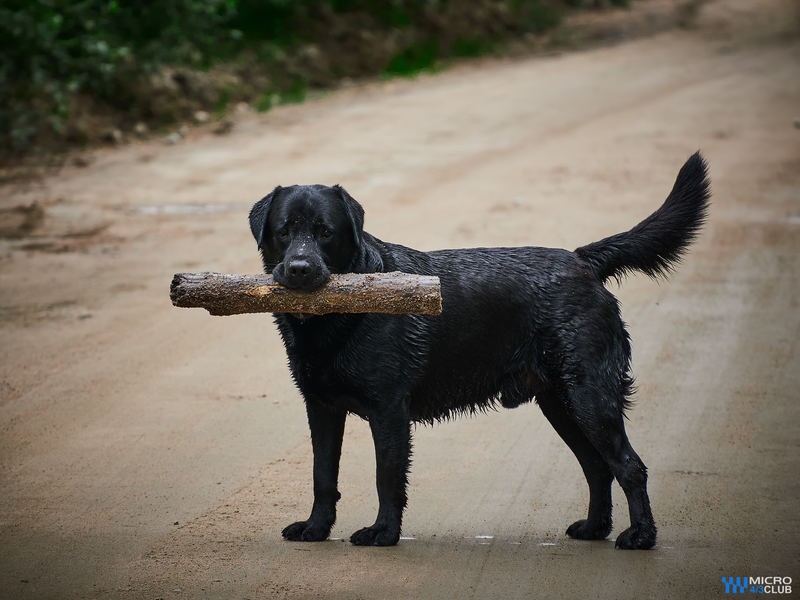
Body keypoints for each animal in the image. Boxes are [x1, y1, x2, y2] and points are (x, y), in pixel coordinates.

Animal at [247, 151, 708, 548]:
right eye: (285, 231)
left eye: (325, 232)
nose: (299, 269)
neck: (335, 319)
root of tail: (582, 261)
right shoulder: (321, 408)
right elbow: (322, 475)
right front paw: (316, 529)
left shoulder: (389, 409)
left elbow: (387, 477)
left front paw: (383, 533)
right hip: (558, 403)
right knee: (597, 468)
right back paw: (595, 529)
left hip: (590, 396)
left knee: (629, 467)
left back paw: (640, 537)